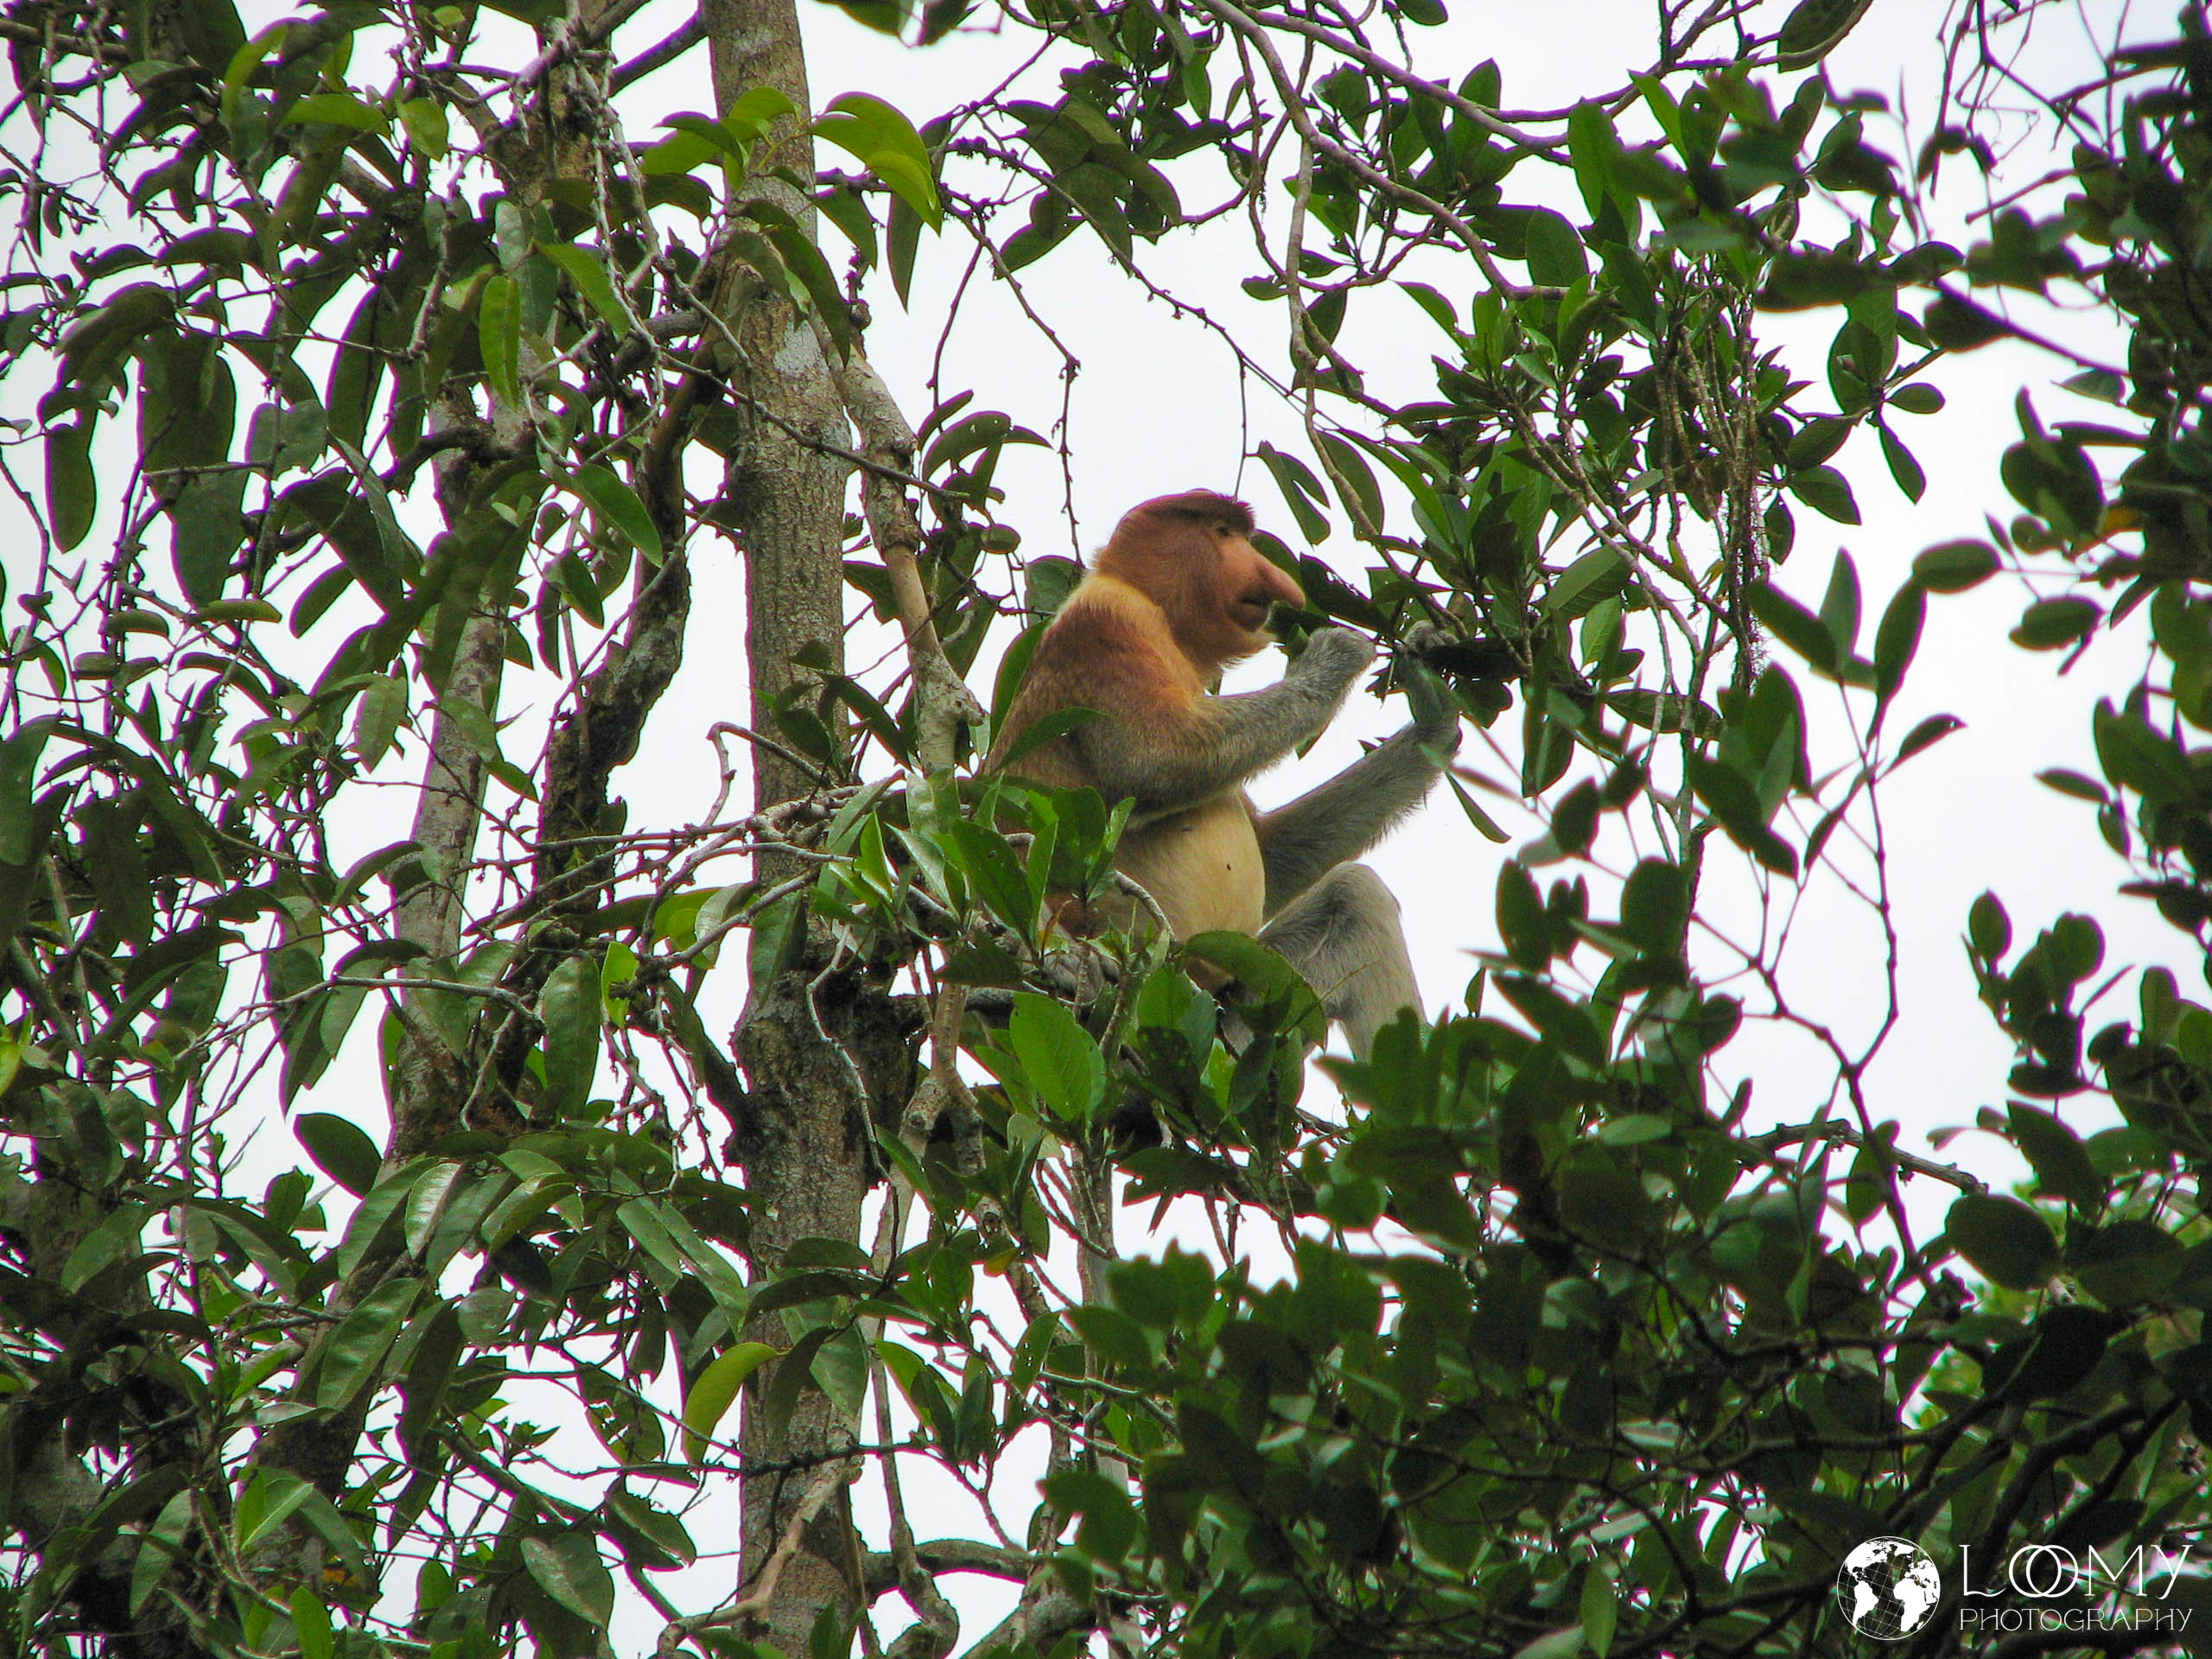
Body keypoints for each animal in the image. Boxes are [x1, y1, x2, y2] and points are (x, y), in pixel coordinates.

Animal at [986, 489, 1460, 1057]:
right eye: (1222, 533)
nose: (1279, 584)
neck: (1166, 623)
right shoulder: (1105, 624)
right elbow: (1150, 765)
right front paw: (1336, 656)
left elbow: (1268, 852)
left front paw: (1432, 708)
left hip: (1248, 1013)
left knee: (1353, 897)